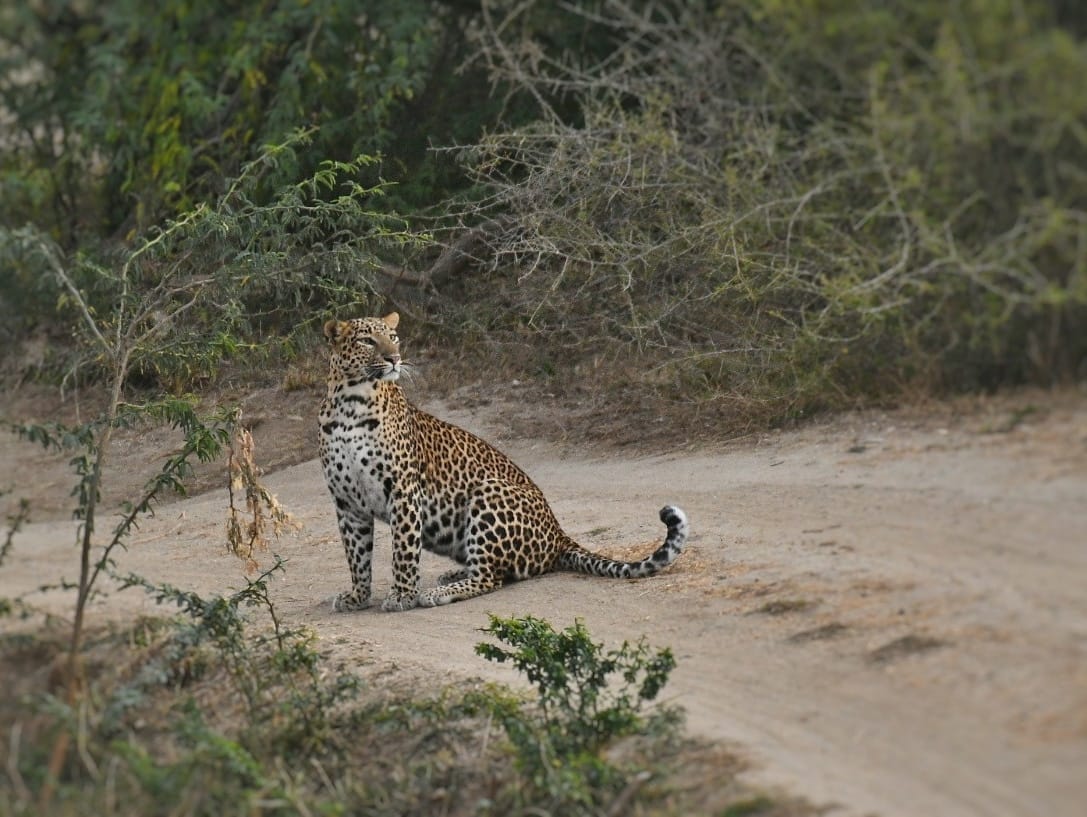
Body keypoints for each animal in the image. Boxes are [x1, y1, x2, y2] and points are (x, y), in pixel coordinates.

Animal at [318, 312, 688, 612]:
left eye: (393, 337)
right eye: (367, 340)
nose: (394, 358)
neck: (351, 403)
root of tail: (560, 535)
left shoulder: (403, 490)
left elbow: (403, 550)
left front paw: (402, 596)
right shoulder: (347, 502)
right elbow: (356, 554)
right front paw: (357, 597)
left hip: (489, 491)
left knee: (491, 577)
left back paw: (440, 592)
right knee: (496, 570)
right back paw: (452, 574)